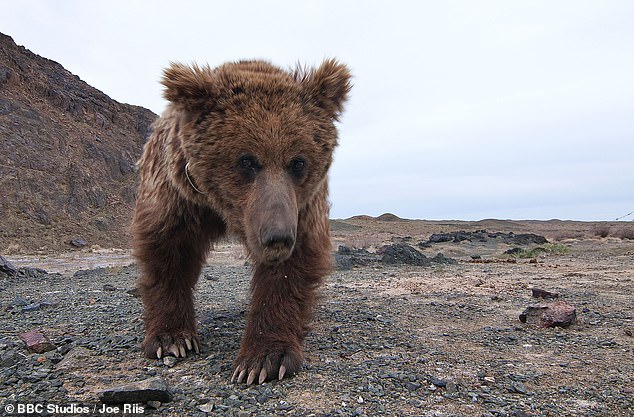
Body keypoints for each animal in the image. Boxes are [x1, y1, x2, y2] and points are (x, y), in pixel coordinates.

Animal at [131, 57, 350, 384]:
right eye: (247, 160)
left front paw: (263, 359)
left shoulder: (302, 206)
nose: (277, 237)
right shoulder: (177, 194)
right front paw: (171, 339)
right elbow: (167, 252)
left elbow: (291, 267)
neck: (220, 207)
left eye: (298, 162)